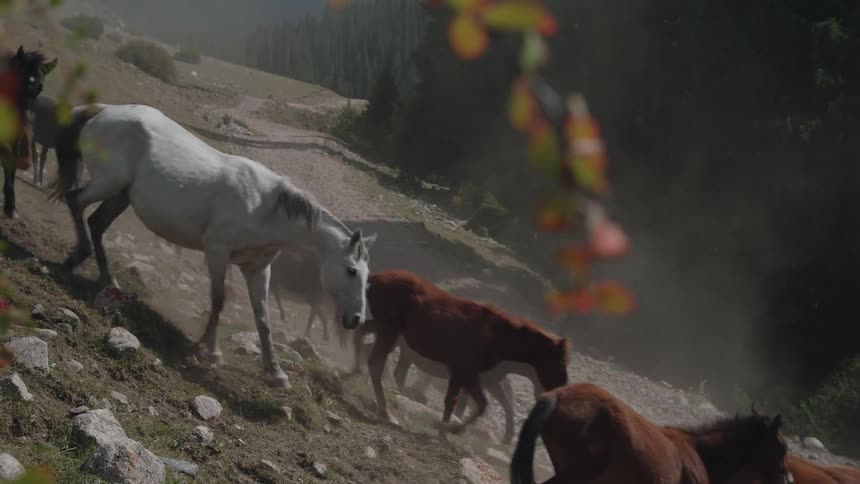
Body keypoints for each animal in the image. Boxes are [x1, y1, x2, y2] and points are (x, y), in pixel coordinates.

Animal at [0, 46, 57, 217]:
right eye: (17, 78)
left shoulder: (15, 141)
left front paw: (10, 207)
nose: (27, 118)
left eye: (40, 87)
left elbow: (13, 163)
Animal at [51, 103, 376, 388]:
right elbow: (219, 300)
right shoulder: (217, 252)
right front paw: (208, 350)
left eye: (367, 278)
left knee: (96, 223)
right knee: (75, 201)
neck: (264, 209)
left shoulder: (258, 270)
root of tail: (104, 110)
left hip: (121, 195)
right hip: (109, 183)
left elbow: (264, 319)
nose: (356, 319)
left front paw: (275, 373)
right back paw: (76, 259)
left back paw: (107, 278)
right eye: (351, 270)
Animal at [357, 269, 570, 434]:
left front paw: (449, 430)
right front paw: (448, 430)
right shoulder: (464, 372)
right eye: (559, 362)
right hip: (389, 331)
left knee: (362, 337)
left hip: (383, 329)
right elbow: (461, 403)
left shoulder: (465, 376)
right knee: (375, 362)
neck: (498, 338)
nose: (560, 389)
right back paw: (384, 410)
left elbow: (468, 404)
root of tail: (373, 278)